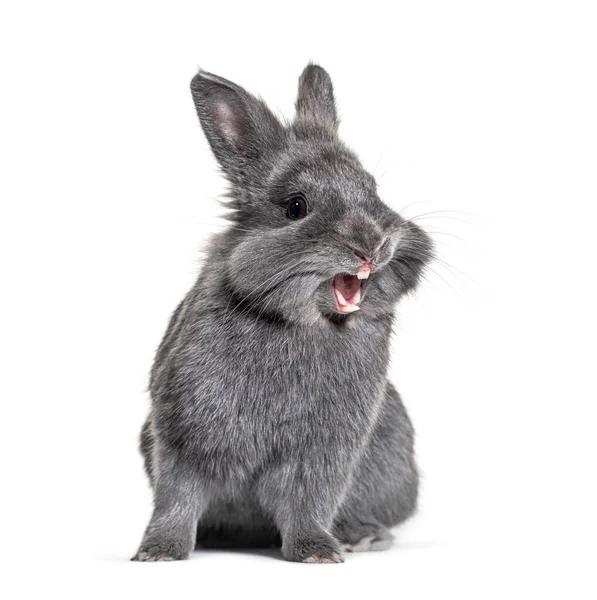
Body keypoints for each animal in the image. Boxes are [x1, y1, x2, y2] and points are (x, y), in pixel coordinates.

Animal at [133, 63, 430, 564]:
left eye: (372, 190)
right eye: (296, 206)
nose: (372, 246)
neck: (300, 324)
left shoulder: (325, 451)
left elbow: (310, 501)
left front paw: (317, 552)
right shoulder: (183, 434)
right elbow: (178, 498)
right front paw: (158, 552)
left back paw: (364, 535)